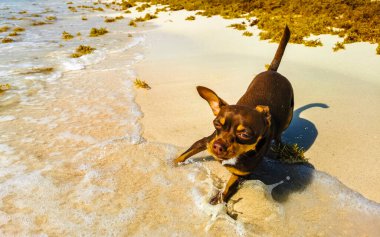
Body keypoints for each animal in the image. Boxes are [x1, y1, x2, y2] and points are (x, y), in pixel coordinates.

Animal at [175, 25, 294, 204]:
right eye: (217, 123)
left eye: (244, 134)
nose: (218, 146)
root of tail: (274, 72)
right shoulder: (204, 142)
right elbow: (184, 155)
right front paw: (171, 164)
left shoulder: (241, 174)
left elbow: (228, 188)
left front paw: (218, 201)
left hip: (288, 116)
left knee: (281, 131)